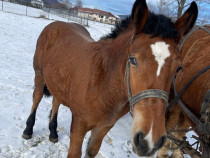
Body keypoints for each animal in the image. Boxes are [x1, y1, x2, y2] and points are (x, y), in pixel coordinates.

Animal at [22, 0, 198, 157]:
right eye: (133, 60)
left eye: (179, 68)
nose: (149, 139)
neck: (103, 83)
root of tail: (56, 24)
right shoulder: (79, 125)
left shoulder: (104, 127)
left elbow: (92, 151)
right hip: (39, 75)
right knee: (37, 97)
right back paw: (28, 130)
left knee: (56, 100)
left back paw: (53, 132)